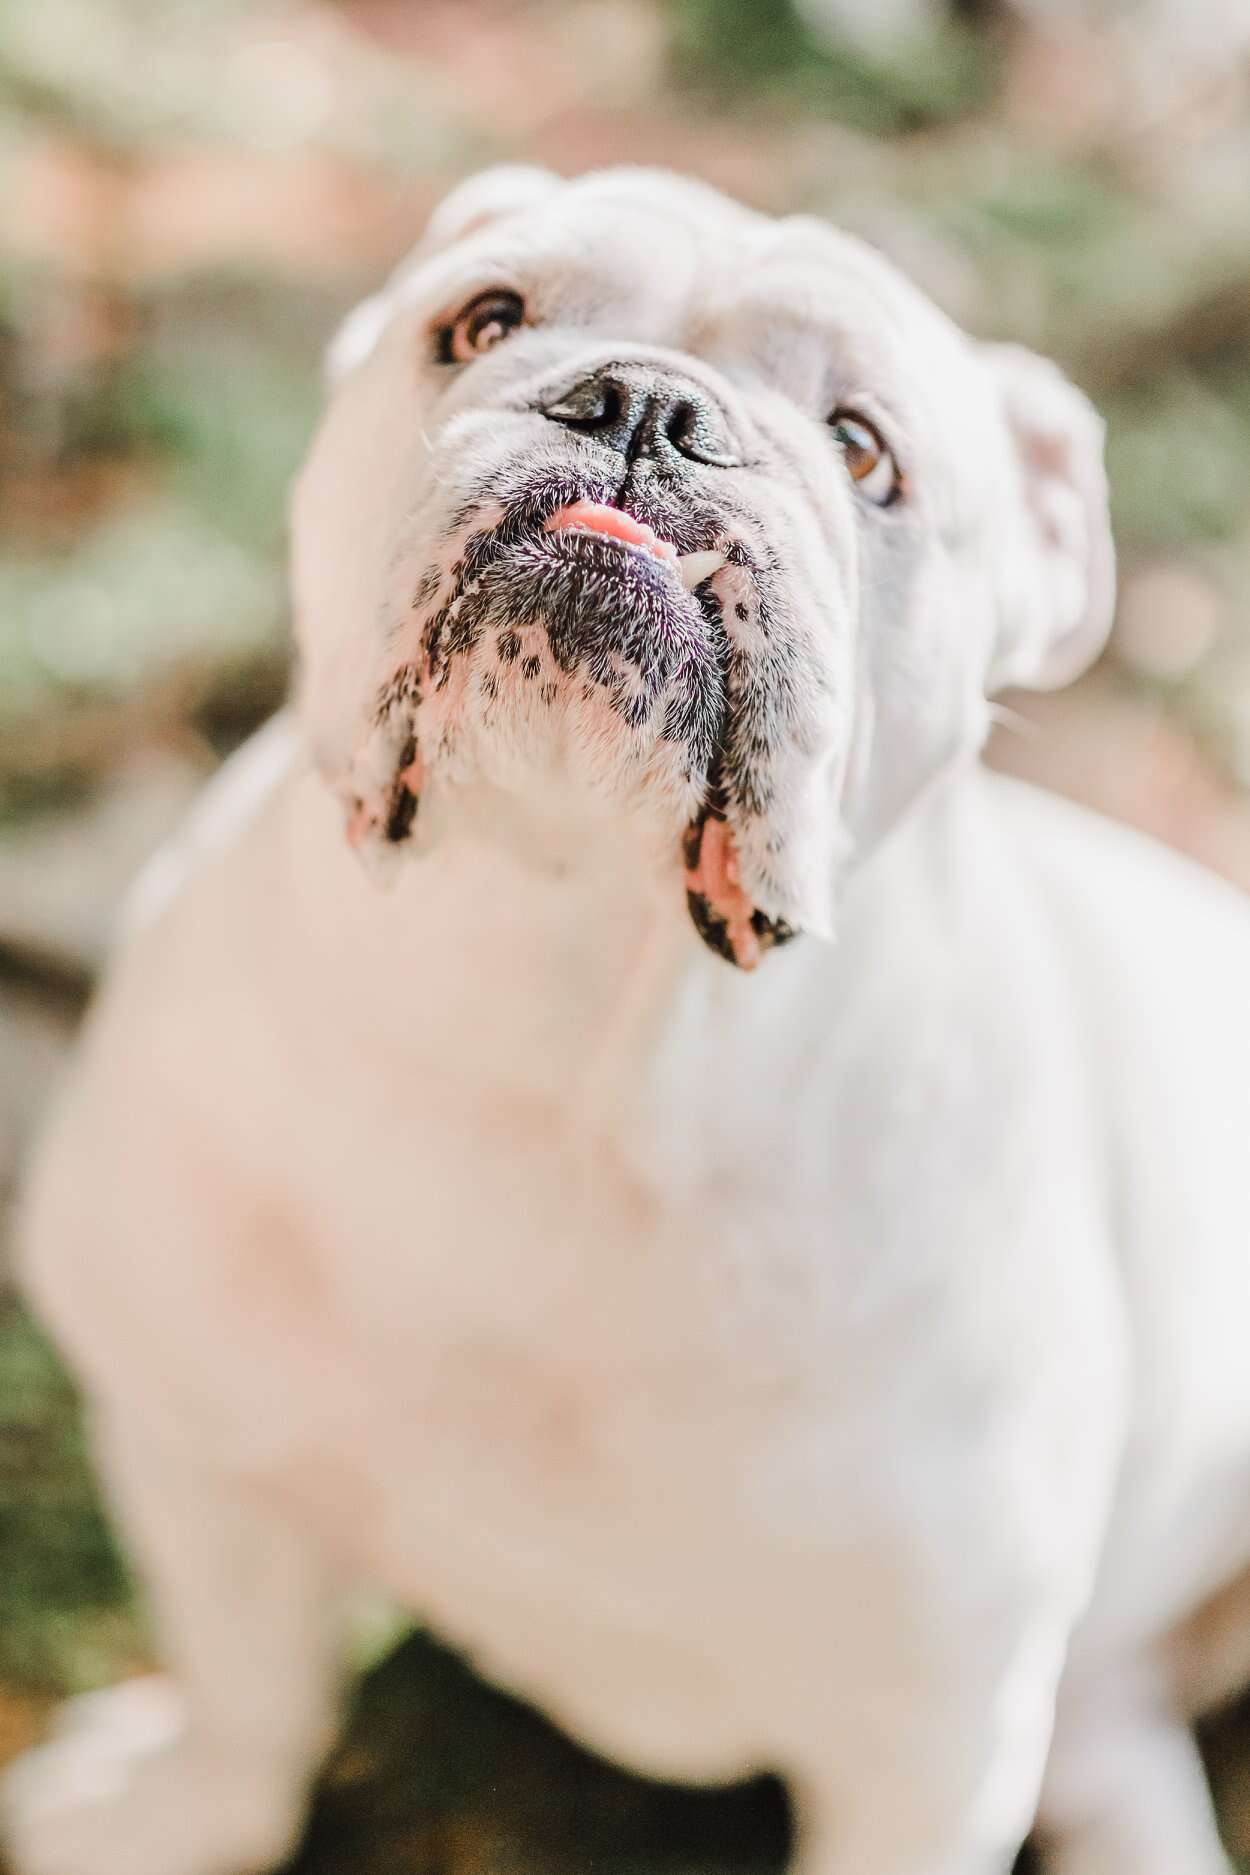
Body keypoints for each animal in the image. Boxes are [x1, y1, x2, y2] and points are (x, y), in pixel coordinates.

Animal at [2, 165, 1250, 1875]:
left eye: (864, 449)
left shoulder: (916, 1746)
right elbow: (247, 1691)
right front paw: (170, 1809)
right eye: (484, 322)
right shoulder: (196, 1451)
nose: (647, 407)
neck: (552, 993)